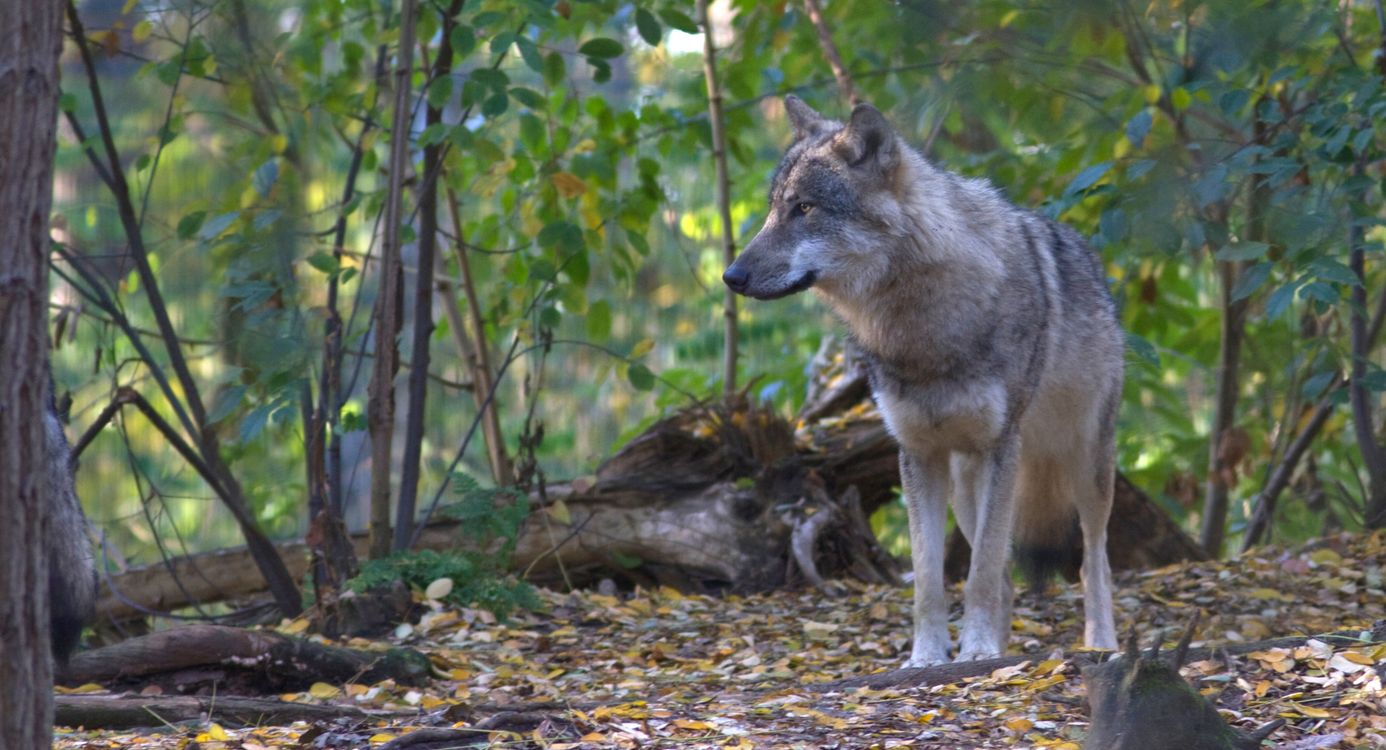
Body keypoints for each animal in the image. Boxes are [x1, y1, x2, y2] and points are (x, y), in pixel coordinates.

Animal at [723, 96, 1122, 665]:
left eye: (805, 209)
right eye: (774, 208)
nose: (730, 276)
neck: (921, 327)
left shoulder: (1000, 446)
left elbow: (979, 576)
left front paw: (975, 652)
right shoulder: (917, 454)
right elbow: (932, 579)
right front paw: (931, 656)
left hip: (1084, 466)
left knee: (1092, 560)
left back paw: (1099, 643)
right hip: (966, 485)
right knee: (1002, 571)